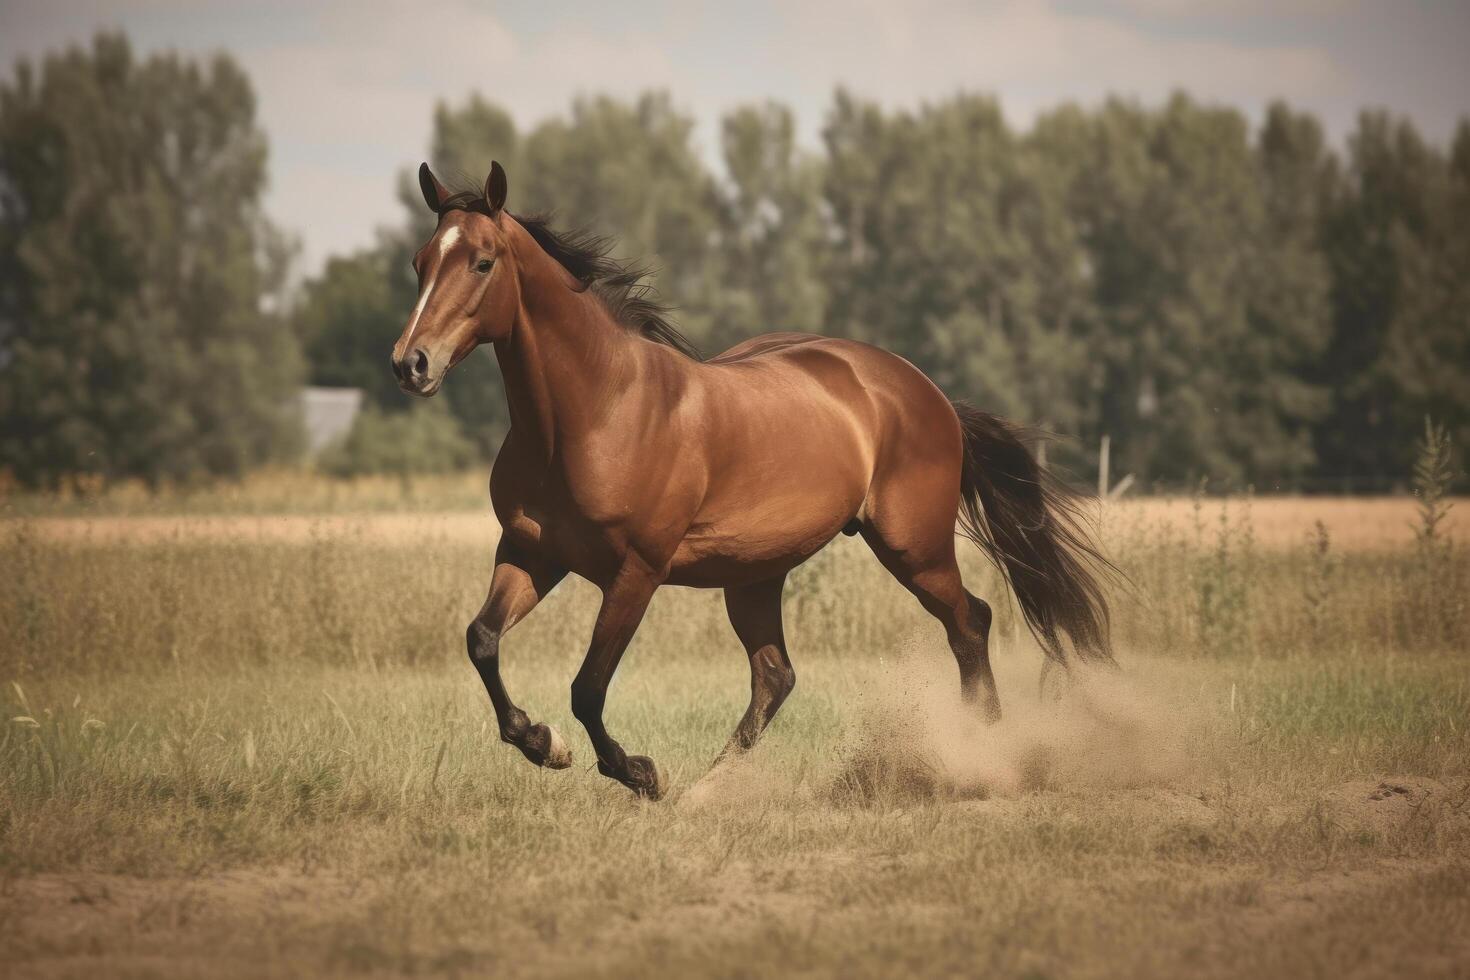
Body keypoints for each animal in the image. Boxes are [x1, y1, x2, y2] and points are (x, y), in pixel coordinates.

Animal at [391, 160, 1111, 799]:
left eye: (482, 262)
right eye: (421, 262)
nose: (410, 363)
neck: (593, 412)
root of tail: (929, 393)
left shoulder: (636, 571)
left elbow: (588, 687)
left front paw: (639, 774)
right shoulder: (532, 552)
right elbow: (482, 640)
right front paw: (543, 743)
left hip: (915, 550)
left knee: (970, 623)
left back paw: (983, 753)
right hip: (755, 573)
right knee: (776, 676)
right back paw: (709, 790)